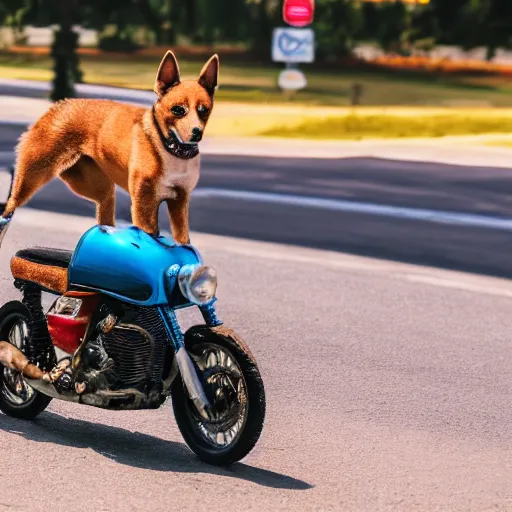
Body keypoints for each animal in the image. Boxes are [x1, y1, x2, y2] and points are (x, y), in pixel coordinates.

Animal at [1, 51, 218, 243]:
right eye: (178, 110)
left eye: (204, 110)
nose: (197, 132)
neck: (171, 148)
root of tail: (59, 106)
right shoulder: (145, 206)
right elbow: (150, 236)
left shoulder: (179, 203)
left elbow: (182, 239)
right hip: (31, 178)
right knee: (8, 209)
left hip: (100, 189)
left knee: (104, 221)